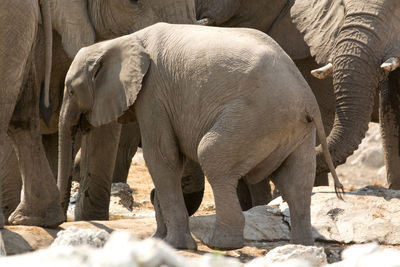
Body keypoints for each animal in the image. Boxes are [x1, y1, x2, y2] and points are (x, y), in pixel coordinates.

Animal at [57, 23, 344, 251]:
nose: (62, 218)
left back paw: (221, 244)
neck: (120, 41)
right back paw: (303, 246)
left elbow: (162, 157)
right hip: (297, 131)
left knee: (212, 156)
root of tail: (307, 98)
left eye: (70, 91)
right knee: (295, 182)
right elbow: (171, 163)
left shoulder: (153, 95)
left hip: (255, 118)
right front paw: (159, 240)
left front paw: (175, 245)